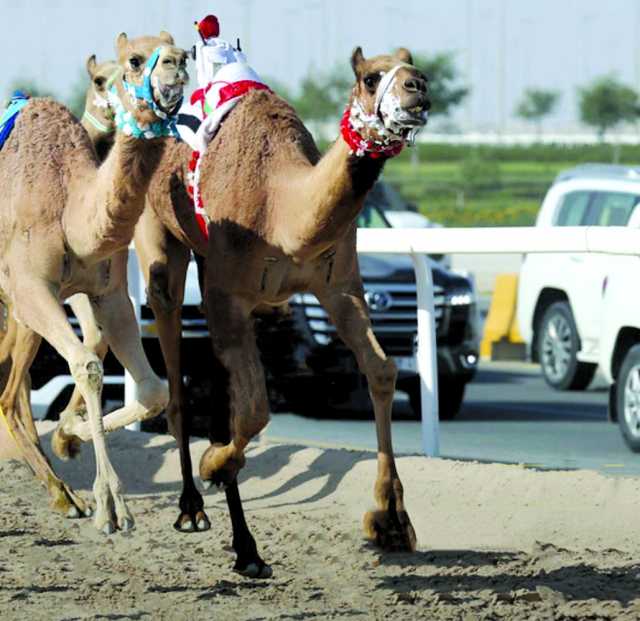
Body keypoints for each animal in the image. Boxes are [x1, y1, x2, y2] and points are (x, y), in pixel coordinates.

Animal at [0, 30, 190, 532]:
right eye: (134, 60)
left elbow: (153, 389)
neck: (71, 206)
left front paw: (69, 435)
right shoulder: (29, 288)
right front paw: (112, 506)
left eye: (183, 50)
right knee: (11, 389)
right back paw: (63, 493)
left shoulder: (110, 294)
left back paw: (62, 489)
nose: (176, 65)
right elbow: (85, 364)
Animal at [53, 44, 424, 576]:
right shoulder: (229, 295)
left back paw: (243, 544)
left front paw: (391, 520)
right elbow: (255, 411)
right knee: (175, 376)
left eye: (414, 67)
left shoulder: (339, 287)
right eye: (372, 77)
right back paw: (190, 504)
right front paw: (215, 464)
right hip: (163, 250)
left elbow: (381, 370)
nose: (419, 89)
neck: (284, 207)